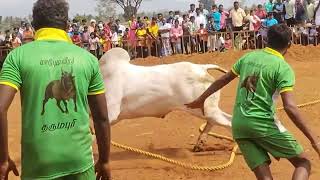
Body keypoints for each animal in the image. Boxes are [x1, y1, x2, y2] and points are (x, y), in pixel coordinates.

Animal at [99, 47, 231, 150]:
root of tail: (202, 68)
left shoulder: (110, 113)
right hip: (205, 110)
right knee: (213, 121)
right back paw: (200, 143)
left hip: (205, 109)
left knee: (228, 122)